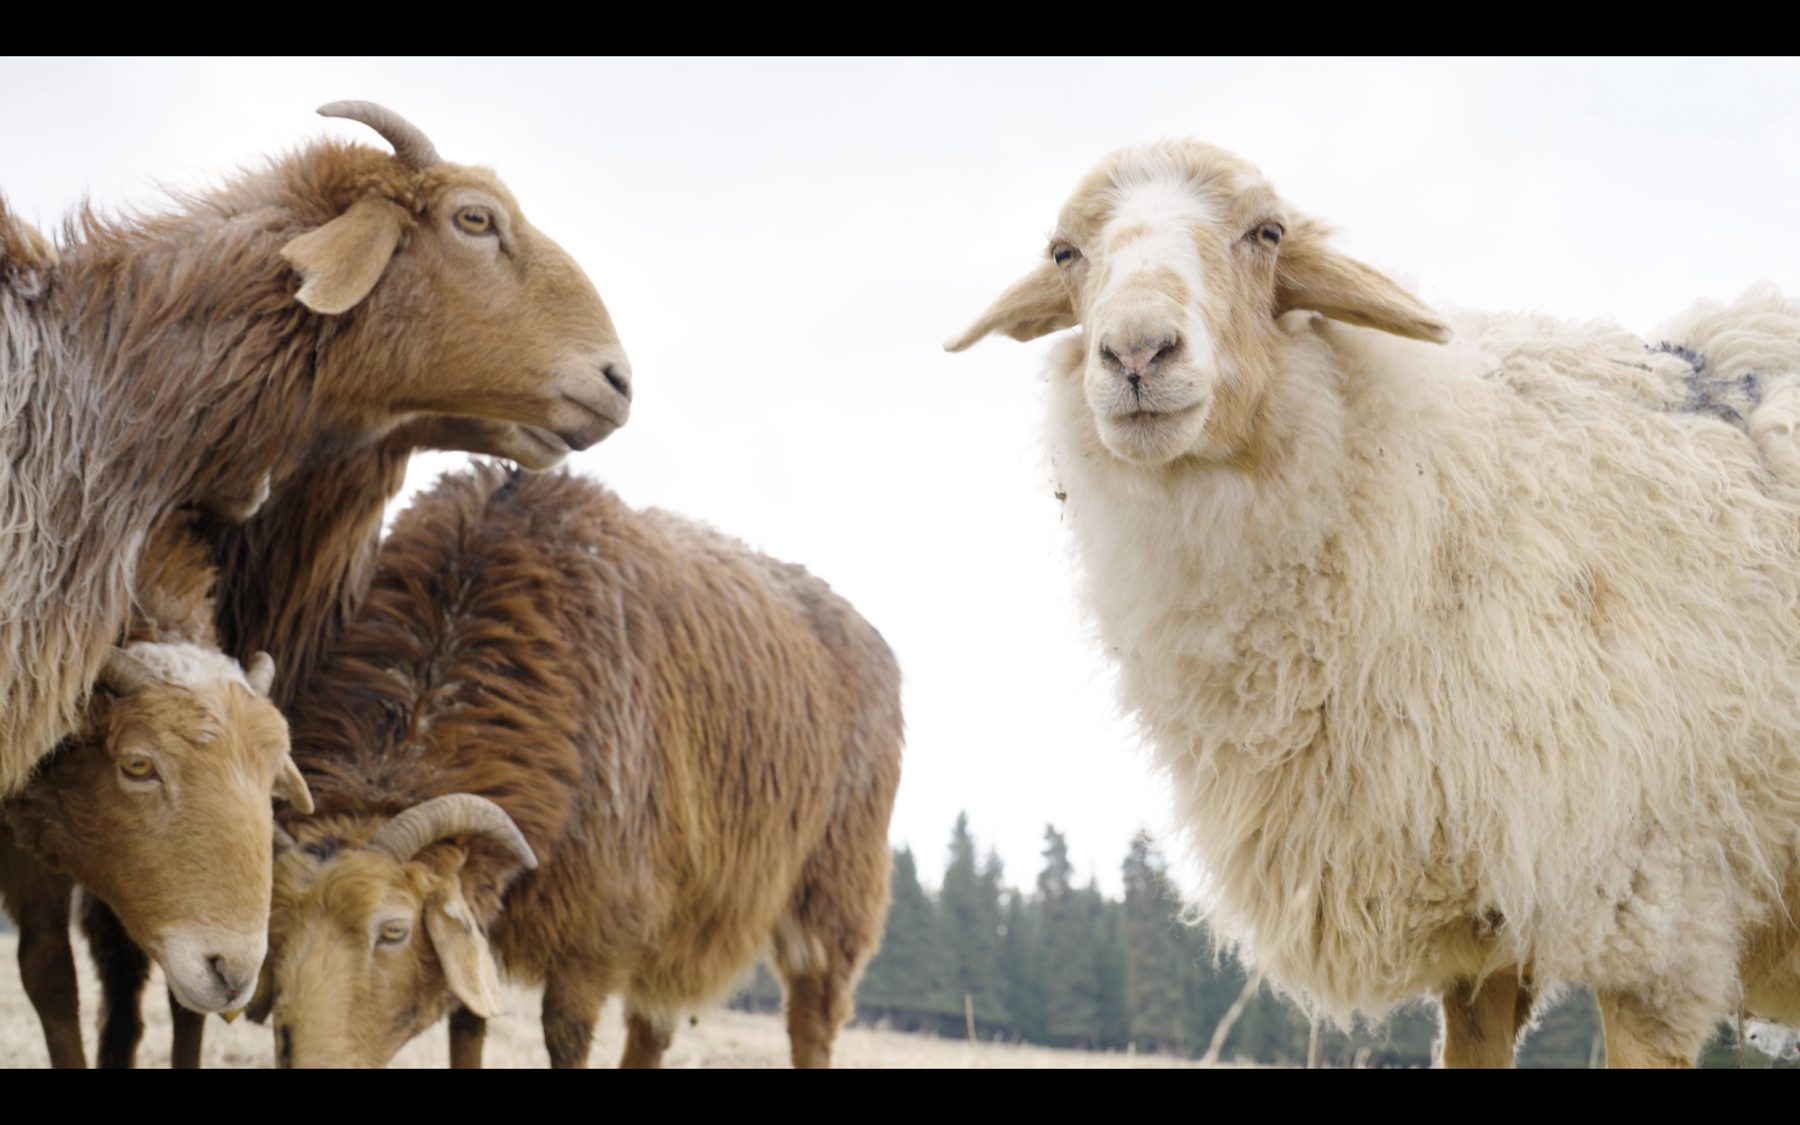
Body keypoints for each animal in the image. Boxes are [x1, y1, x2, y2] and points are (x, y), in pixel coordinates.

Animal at [256, 464, 903, 1068]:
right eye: (275, 933)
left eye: (393, 930)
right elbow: (468, 1023)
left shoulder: (600, 927)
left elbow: (564, 1036)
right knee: (653, 1028)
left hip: (831, 894)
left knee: (812, 1020)